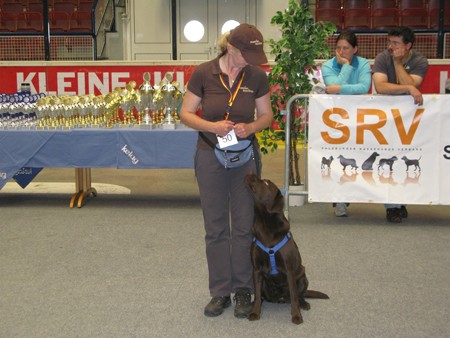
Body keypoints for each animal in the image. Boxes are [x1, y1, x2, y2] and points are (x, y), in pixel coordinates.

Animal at [244, 174, 328, 324]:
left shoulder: (289, 270)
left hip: (302, 278)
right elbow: (257, 295)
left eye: (266, 183)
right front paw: (255, 312)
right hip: (265, 283)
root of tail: (280, 298)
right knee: (264, 296)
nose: (250, 173)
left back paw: (304, 304)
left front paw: (296, 316)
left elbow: (294, 297)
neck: (264, 224)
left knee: (299, 295)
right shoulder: (257, 269)